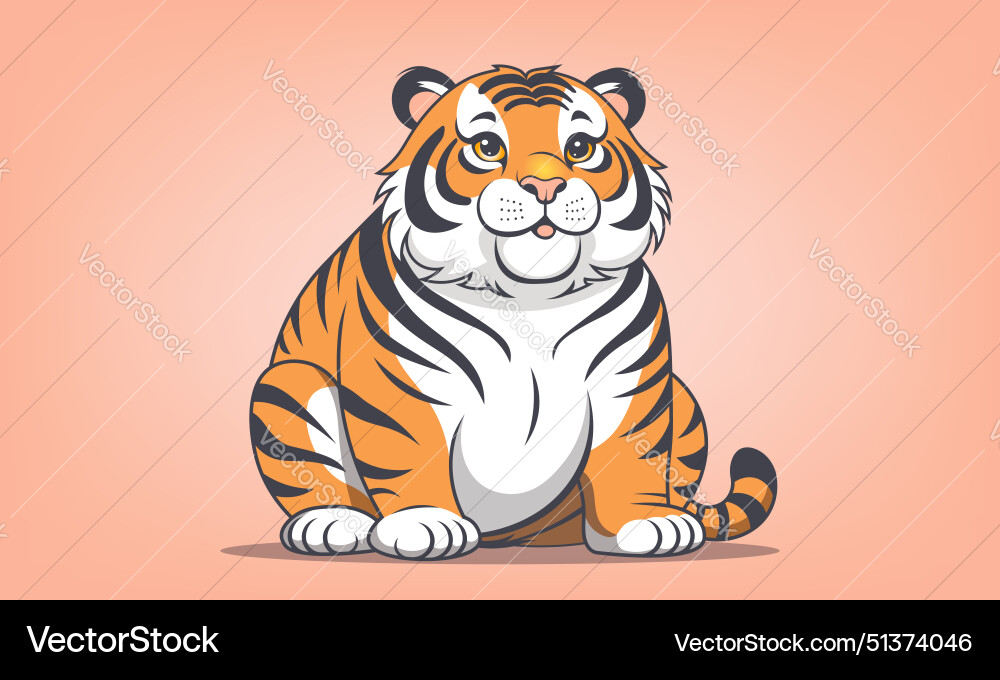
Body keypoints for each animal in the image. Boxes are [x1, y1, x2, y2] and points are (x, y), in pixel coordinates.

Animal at [249, 64, 777, 560]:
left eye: (580, 147)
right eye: (487, 146)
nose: (545, 186)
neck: (531, 297)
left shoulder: (628, 380)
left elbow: (632, 452)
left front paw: (647, 524)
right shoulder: (402, 380)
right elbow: (411, 449)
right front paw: (425, 524)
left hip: (679, 394)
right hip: (291, 380)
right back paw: (331, 524)